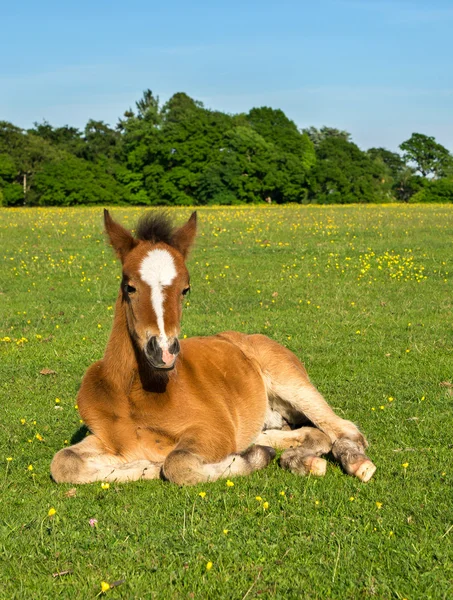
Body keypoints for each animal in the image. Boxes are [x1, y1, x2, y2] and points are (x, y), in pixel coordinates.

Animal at [50, 210, 374, 482]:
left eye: (185, 289)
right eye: (129, 286)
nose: (163, 351)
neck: (134, 394)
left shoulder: (213, 432)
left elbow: (177, 463)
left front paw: (251, 459)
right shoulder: (108, 438)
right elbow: (63, 462)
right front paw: (144, 466)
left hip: (293, 383)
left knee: (343, 430)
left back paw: (353, 464)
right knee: (311, 433)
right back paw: (298, 459)